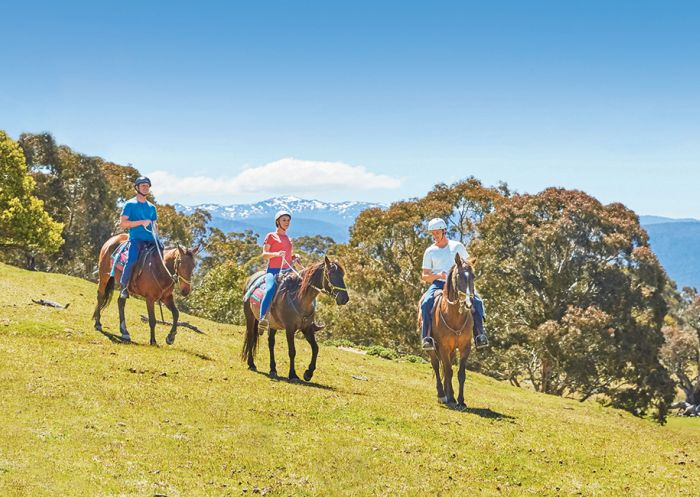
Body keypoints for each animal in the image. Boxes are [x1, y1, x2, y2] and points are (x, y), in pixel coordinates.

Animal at [418, 254, 478, 408]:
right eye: (458, 276)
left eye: (473, 276)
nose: (469, 304)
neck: (455, 317)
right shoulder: (443, 347)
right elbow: (448, 371)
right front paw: (450, 398)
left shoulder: (464, 347)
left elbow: (460, 373)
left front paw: (461, 400)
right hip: (433, 347)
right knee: (436, 366)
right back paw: (442, 395)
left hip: (451, 350)